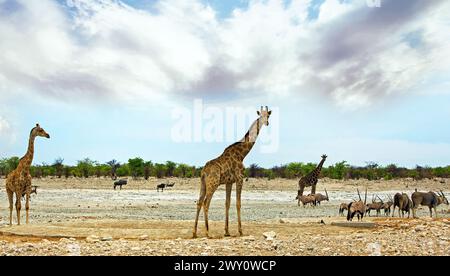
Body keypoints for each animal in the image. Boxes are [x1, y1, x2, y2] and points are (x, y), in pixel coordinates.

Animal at [192, 105, 272, 237]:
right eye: (261, 115)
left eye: (268, 115)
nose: (266, 123)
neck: (242, 154)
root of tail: (204, 171)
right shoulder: (240, 179)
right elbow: (238, 203)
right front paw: (240, 231)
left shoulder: (229, 182)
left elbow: (227, 203)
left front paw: (227, 231)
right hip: (213, 184)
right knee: (206, 203)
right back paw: (208, 232)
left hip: (203, 184)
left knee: (199, 202)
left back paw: (194, 233)